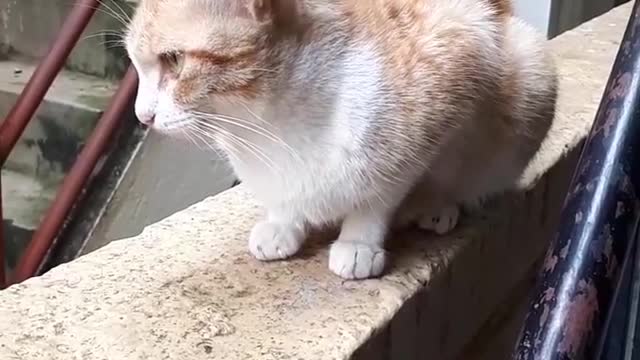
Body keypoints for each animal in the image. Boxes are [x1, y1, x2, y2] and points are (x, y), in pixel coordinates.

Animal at [125, 0, 556, 280]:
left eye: (174, 60)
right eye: (136, 67)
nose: (141, 116)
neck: (268, 125)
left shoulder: (449, 75)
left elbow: (380, 197)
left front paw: (359, 243)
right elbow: (285, 202)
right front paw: (282, 224)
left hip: (530, 71)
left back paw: (436, 206)